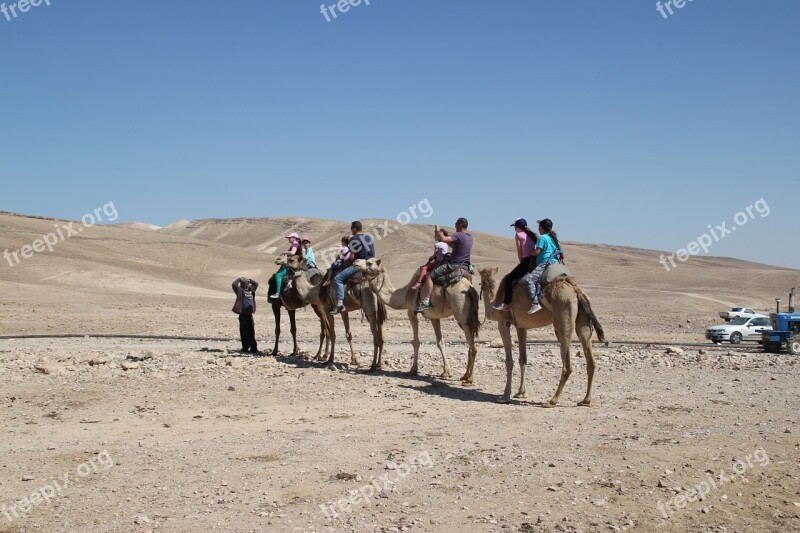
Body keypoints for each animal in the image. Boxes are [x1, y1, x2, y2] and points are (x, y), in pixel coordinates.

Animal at [478, 266, 604, 408]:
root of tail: (576, 291)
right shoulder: (521, 327)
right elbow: (523, 359)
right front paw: (521, 392)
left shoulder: (503, 322)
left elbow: (509, 361)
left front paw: (505, 396)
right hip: (583, 321)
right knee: (590, 358)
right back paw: (585, 400)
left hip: (563, 315)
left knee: (567, 364)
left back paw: (552, 401)